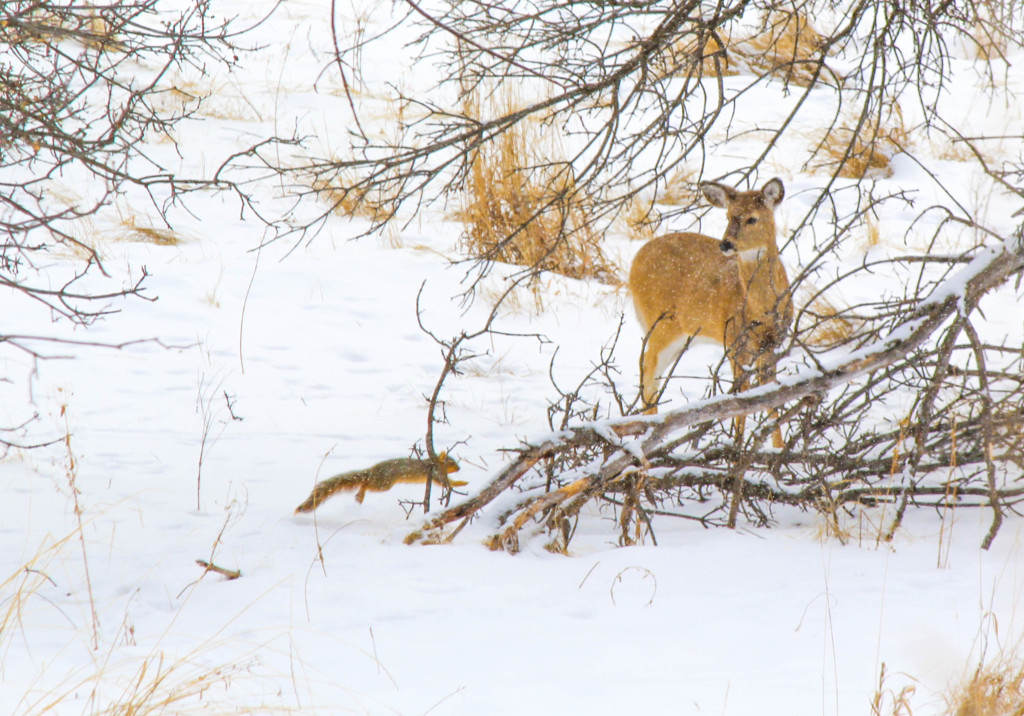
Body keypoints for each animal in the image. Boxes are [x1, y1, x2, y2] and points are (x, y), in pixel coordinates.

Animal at [294, 452, 466, 516]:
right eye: (451, 462)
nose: (459, 468)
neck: (433, 463)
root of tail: (370, 471)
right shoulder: (436, 474)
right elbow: (446, 482)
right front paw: (461, 482)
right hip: (384, 483)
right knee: (365, 484)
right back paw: (361, 493)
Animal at [630, 176, 790, 444]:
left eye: (752, 218)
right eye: (728, 216)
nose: (725, 244)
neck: (762, 309)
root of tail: (634, 261)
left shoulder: (772, 345)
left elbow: (771, 401)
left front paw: (778, 449)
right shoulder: (735, 344)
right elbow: (741, 402)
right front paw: (737, 448)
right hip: (662, 324)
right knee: (647, 371)